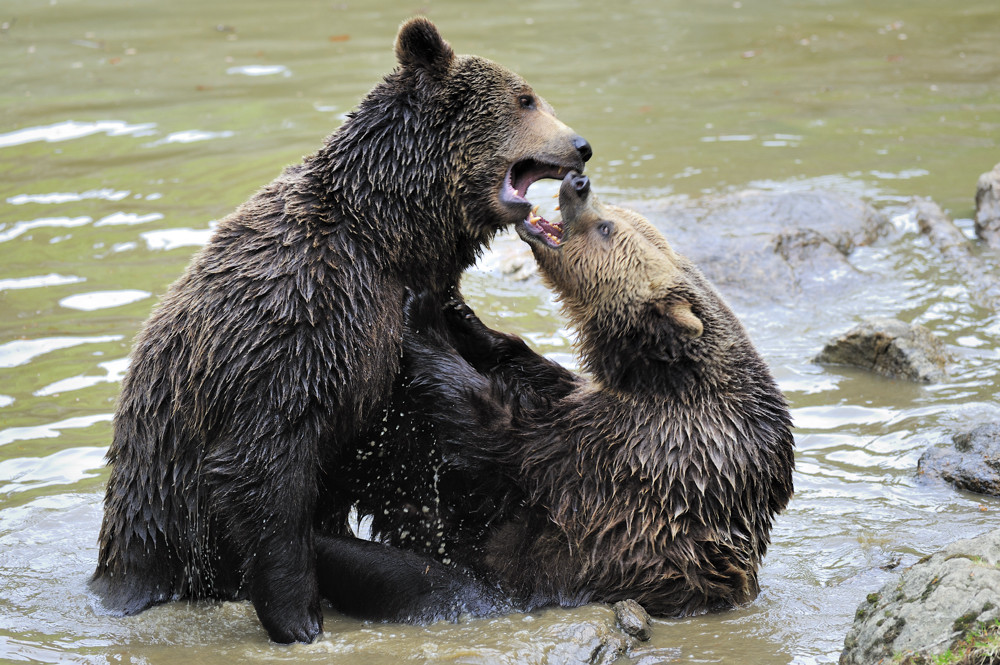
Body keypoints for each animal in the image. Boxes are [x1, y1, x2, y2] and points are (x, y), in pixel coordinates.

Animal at [90, 19, 588, 644]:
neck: (385, 236)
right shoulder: (301, 316)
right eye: (526, 99)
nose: (580, 145)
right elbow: (263, 461)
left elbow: (425, 434)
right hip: (165, 512)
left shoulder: (400, 337)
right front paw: (299, 617)